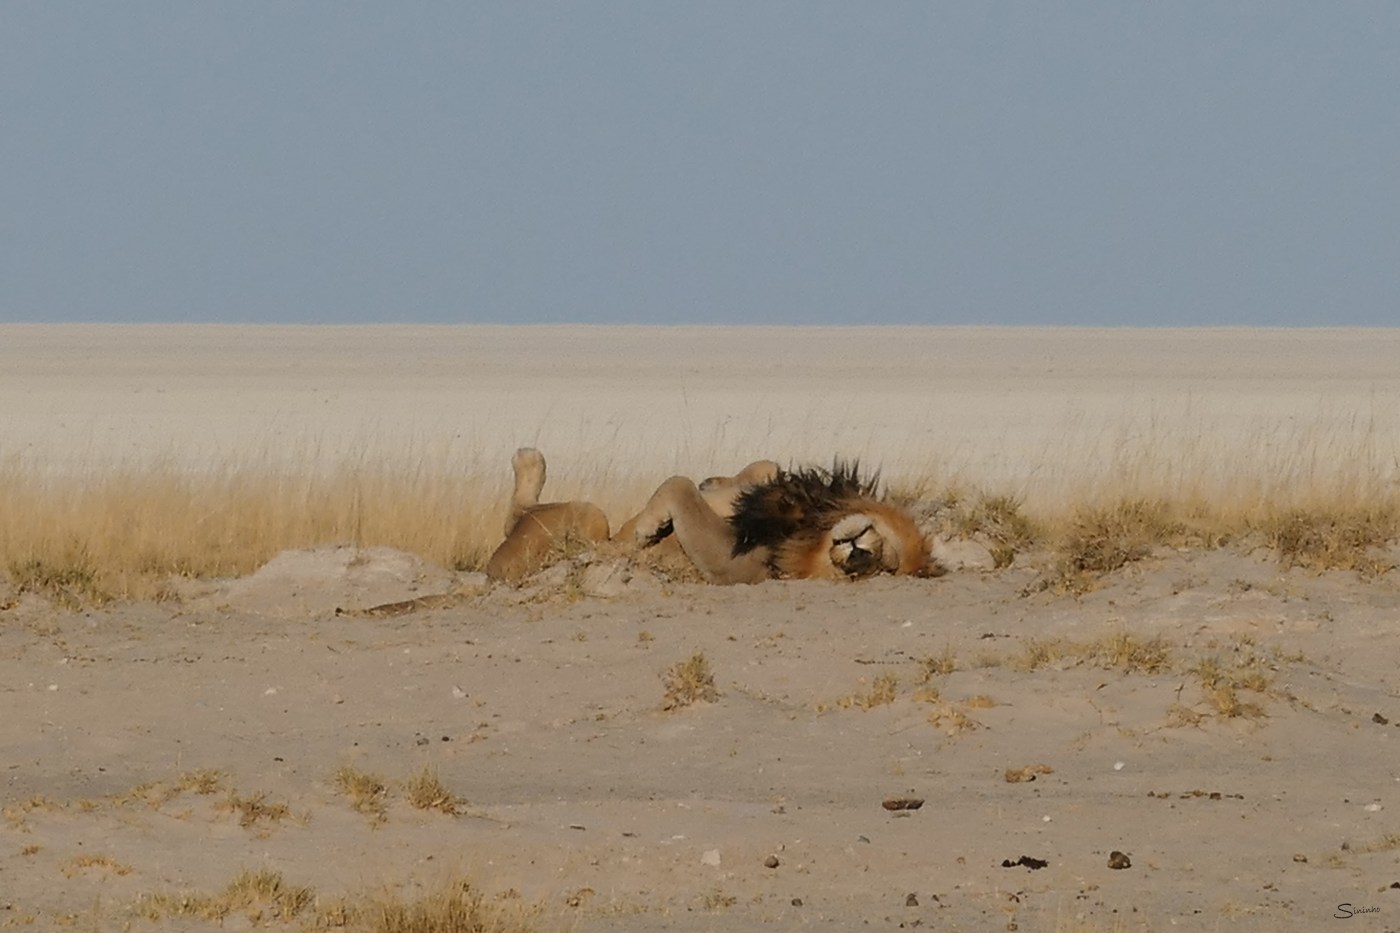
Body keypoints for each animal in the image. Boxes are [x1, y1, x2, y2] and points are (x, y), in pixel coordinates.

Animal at [485, 449, 935, 585]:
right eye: (890, 551)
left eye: (885, 566)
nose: (859, 555)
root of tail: (492, 572)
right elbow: (762, 467)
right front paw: (716, 481)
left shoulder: (730, 561)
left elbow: (678, 485)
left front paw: (648, 530)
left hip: (582, 521)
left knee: (519, 519)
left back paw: (528, 461)